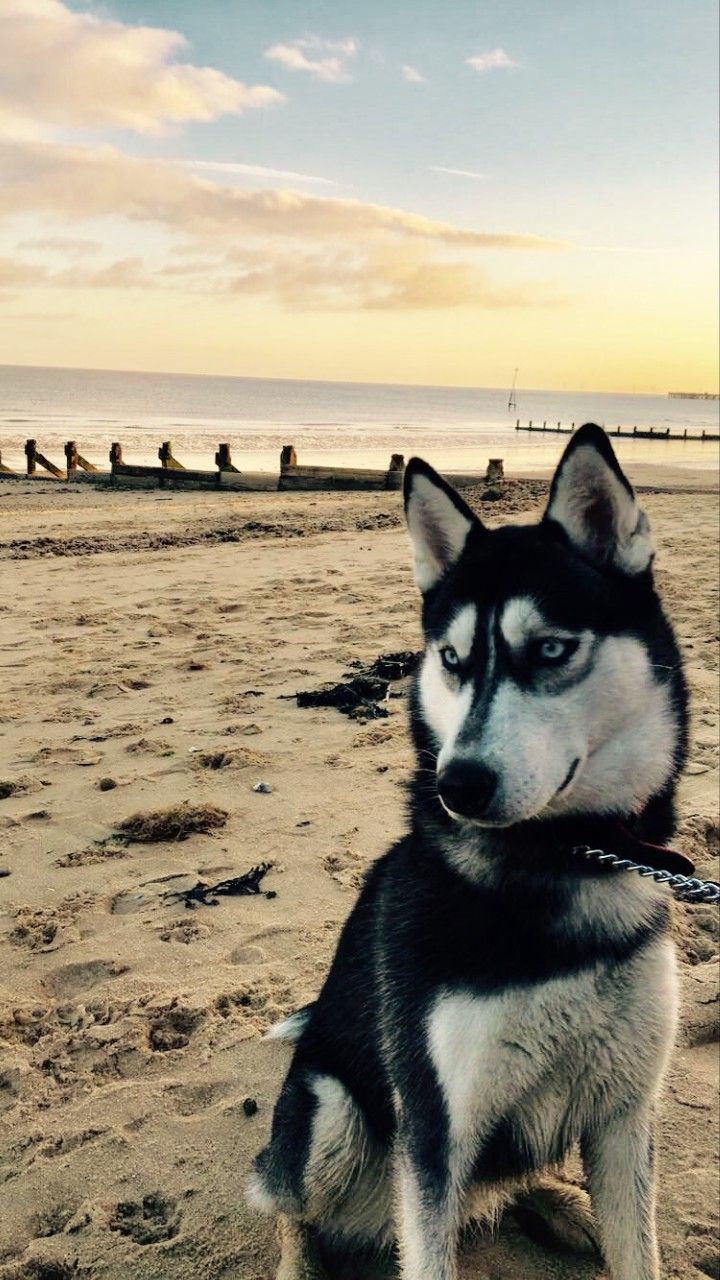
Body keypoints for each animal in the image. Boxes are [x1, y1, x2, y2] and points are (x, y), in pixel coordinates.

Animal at [249, 427, 686, 1280]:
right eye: (452, 660)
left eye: (548, 649)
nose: (458, 784)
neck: (573, 859)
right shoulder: (434, 1129)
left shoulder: (625, 1114)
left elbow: (638, 1249)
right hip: (333, 1113)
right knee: (285, 1201)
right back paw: (300, 1259)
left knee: (504, 1185)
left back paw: (562, 1205)